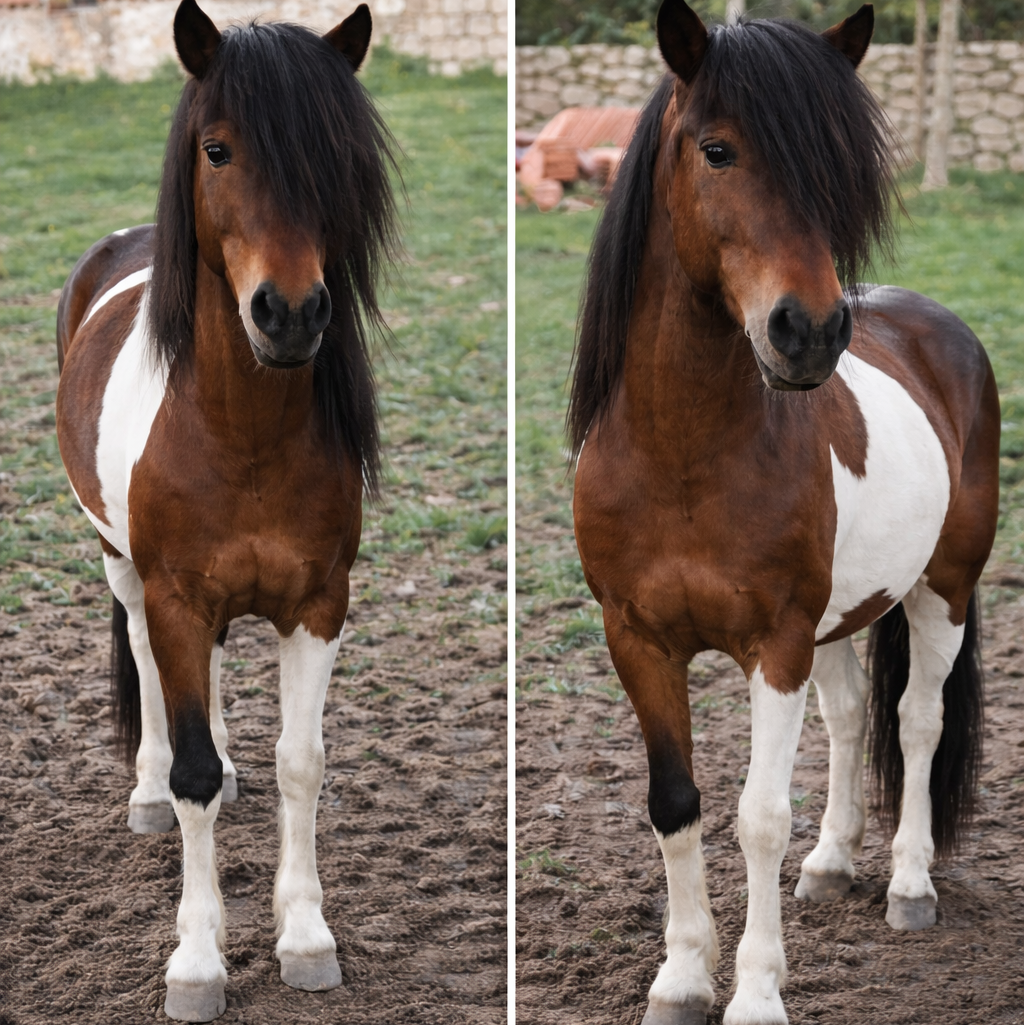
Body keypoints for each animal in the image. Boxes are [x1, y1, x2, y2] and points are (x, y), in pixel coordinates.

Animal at [54, 1, 396, 1019]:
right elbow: (193, 772)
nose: (290, 313)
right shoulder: (173, 595)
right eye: (217, 149)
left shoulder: (318, 603)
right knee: (144, 663)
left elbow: (301, 762)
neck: (236, 432)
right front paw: (197, 962)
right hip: (121, 565)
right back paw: (144, 795)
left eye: (336, 157)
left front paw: (307, 937)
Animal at [569, 3, 999, 1023]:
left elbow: (760, 815)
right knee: (849, 719)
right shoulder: (636, 637)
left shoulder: (776, 640)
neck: (684, 456)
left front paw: (757, 991)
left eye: (837, 166)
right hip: (843, 615)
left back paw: (908, 884)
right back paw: (833, 863)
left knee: (916, 720)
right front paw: (681, 978)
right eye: (717, 150)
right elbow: (675, 802)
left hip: (944, 588)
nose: (809, 332)